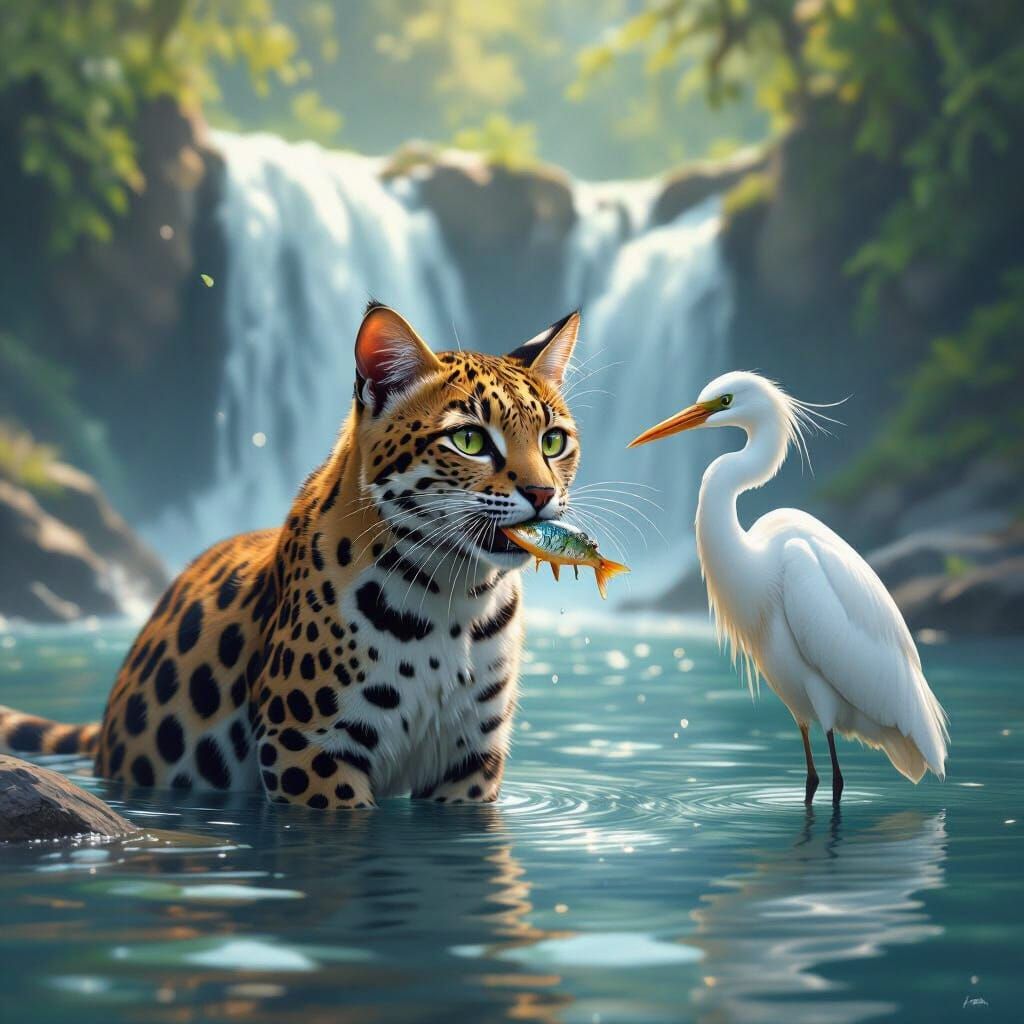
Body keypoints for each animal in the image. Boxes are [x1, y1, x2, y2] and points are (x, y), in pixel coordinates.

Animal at [0, 302, 582, 808]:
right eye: (470, 440)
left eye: (553, 442)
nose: (541, 493)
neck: (456, 594)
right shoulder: (308, 746)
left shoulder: (469, 761)